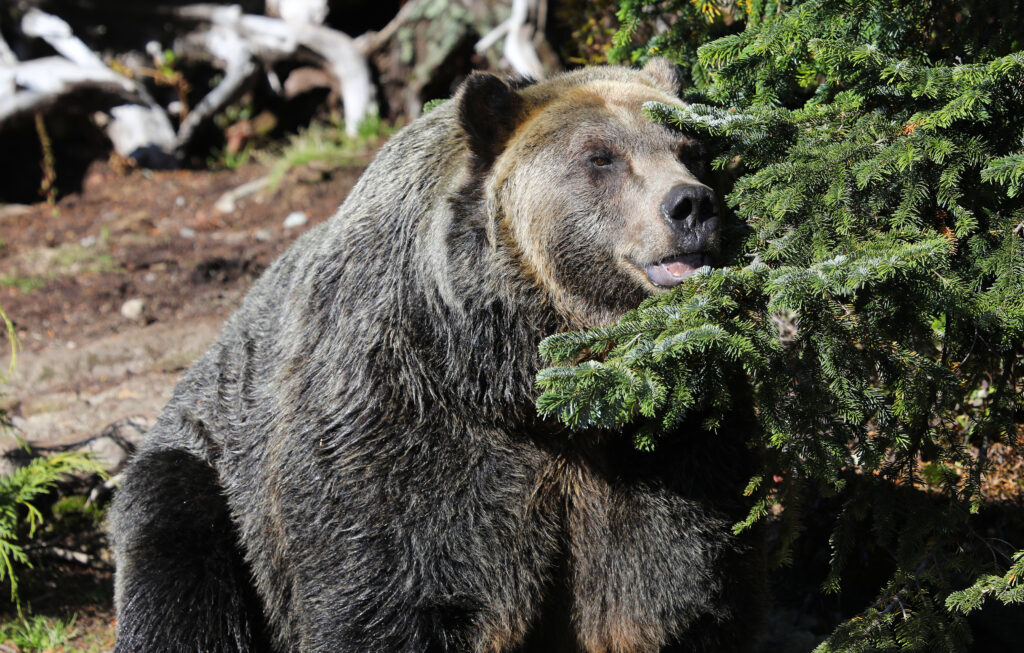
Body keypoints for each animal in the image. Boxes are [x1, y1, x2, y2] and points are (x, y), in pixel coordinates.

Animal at [114, 58, 761, 650]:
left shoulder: (662, 442)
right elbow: (394, 591)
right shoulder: (403, 419)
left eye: (691, 148)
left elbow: (667, 591)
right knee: (173, 554)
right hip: (210, 467)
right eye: (601, 157)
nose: (691, 205)